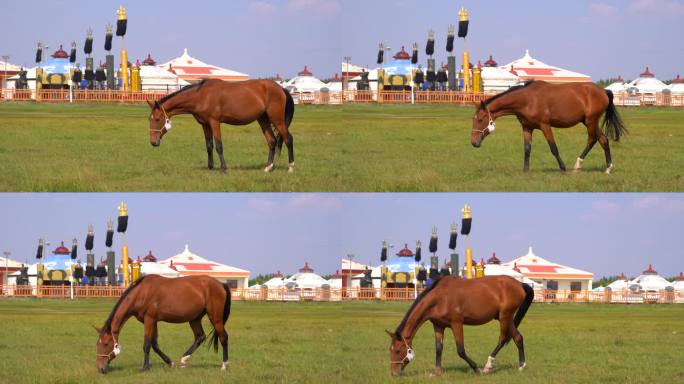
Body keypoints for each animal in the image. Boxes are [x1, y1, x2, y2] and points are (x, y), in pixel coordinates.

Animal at [93, 274, 232, 374]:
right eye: (97, 345)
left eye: (106, 344)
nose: (101, 369)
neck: (142, 292)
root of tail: (221, 284)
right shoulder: (152, 321)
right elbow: (154, 344)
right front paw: (170, 362)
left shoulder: (149, 320)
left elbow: (147, 345)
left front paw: (145, 368)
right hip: (195, 319)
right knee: (200, 337)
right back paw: (183, 360)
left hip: (215, 318)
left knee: (223, 337)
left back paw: (224, 365)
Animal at [148, 78, 296, 172]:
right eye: (150, 119)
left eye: (158, 119)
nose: (153, 142)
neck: (202, 96)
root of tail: (281, 88)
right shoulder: (205, 124)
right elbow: (209, 146)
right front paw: (210, 167)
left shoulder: (214, 122)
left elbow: (219, 145)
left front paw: (223, 168)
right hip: (263, 119)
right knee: (272, 141)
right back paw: (268, 167)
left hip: (277, 119)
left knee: (288, 138)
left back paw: (290, 167)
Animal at [384, 276, 536, 378]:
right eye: (390, 350)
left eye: (398, 350)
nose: (394, 373)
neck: (440, 297)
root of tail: (520, 283)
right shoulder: (438, 326)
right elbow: (438, 348)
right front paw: (437, 372)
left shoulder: (456, 324)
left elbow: (460, 350)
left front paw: (476, 369)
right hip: (505, 318)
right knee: (518, 338)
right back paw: (521, 366)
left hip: (505, 317)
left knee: (503, 339)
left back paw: (487, 366)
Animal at [472, 81, 628, 174]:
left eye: (480, 119)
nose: (474, 142)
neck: (527, 99)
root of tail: (604, 91)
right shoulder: (527, 127)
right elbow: (527, 149)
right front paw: (525, 170)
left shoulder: (545, 126)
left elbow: (553, 148)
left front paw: (563, 168)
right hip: (589, 122)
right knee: (603, 140)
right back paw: (608, 168)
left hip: (591, 121)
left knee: (592, 139)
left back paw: (578, 165)